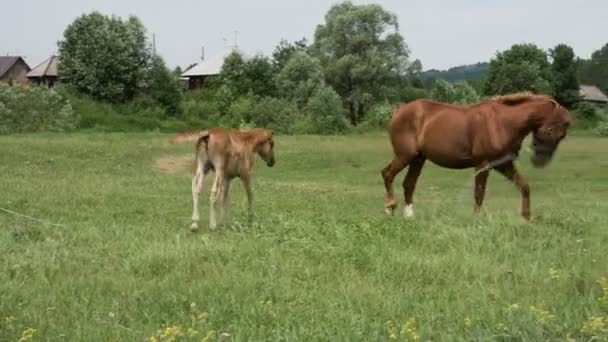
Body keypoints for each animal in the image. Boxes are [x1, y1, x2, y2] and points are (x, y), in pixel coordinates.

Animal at [382, 93, 572, 220]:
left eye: (563, 136)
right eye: (550, 130)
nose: (539, 162)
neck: (502, 122)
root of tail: (399, 111)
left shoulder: (503, 164)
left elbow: (524, 186)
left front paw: (526, 218)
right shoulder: (483, 164)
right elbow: (479, 193)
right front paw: (476, 219)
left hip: (418, 158)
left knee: (409, 184)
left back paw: (409, 216)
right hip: (405, 155)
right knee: (388, 174)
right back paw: (389, 208)